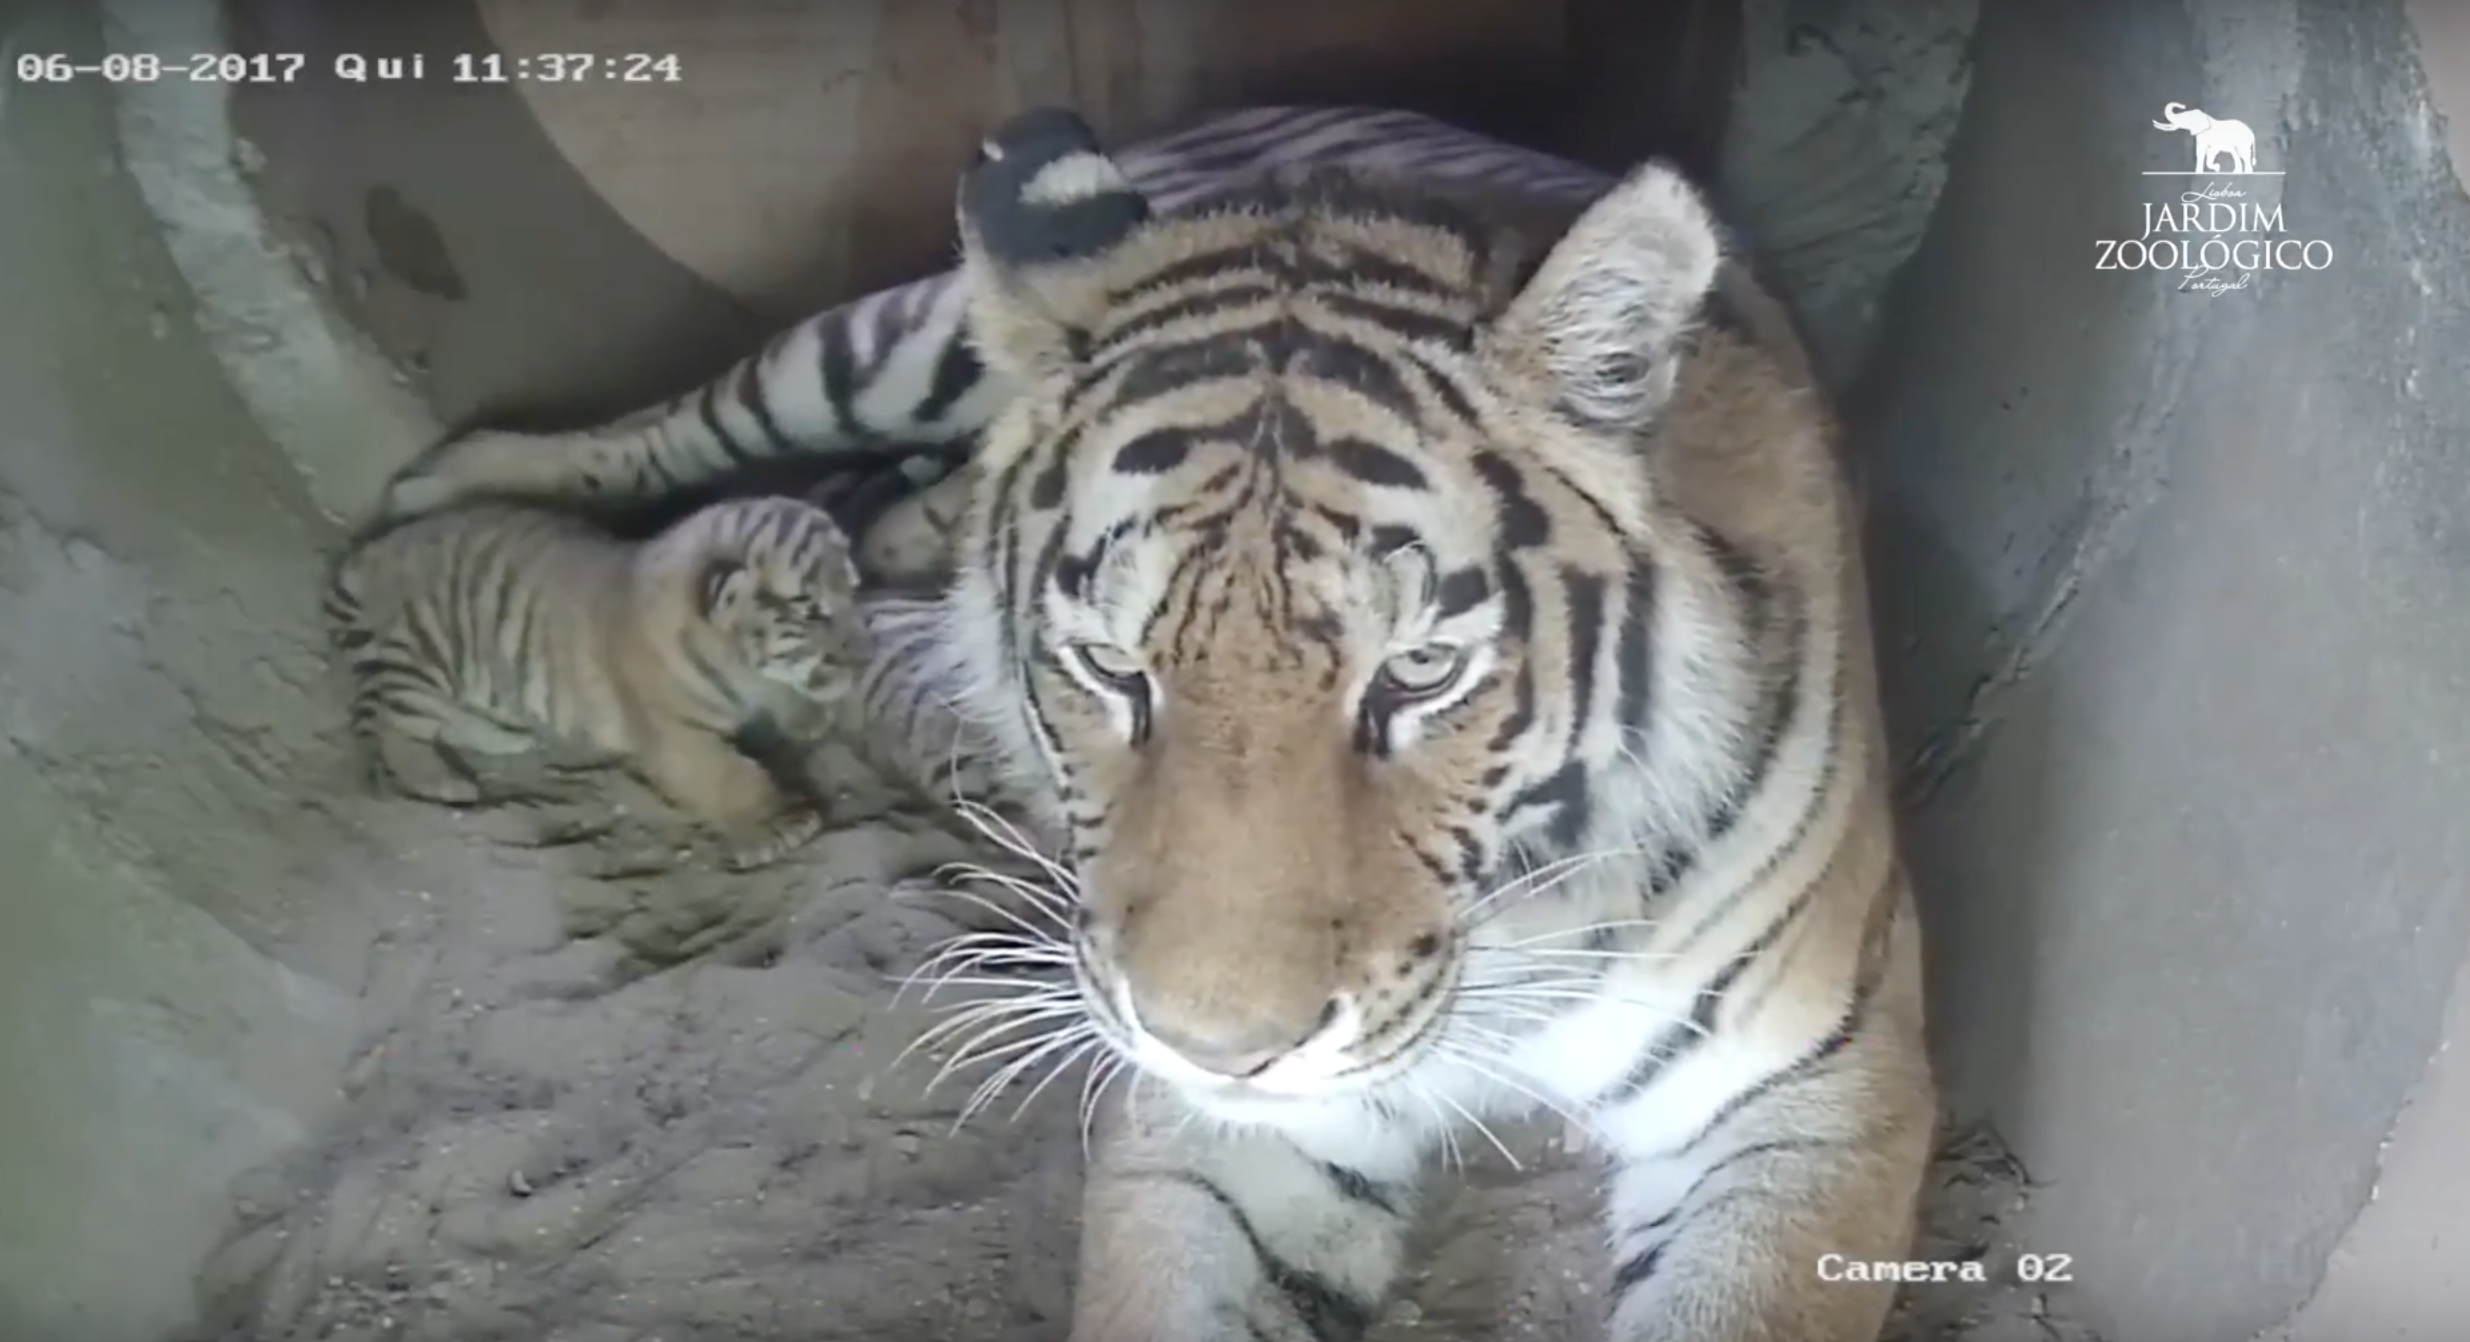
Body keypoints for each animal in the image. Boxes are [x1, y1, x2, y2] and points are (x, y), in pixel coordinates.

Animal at [324, 493, 870, 871]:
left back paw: (508, 737)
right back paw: (444, 781)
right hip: (426, 654)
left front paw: (809, 714)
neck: (735, 660)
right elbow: (729, 774)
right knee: (396, 728)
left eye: (854, 589)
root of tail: (369, 552)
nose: (860, 657)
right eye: (814, 612)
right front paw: (781, 823)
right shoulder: (677, 738)